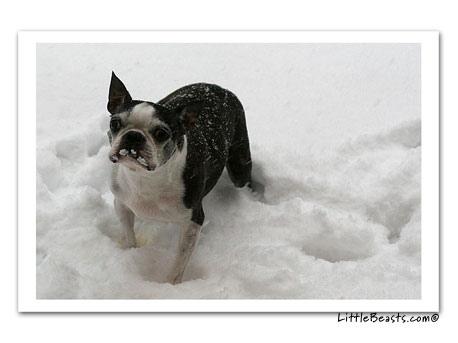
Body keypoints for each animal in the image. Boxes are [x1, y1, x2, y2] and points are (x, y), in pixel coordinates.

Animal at [106, 72, 262, 284]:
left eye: (161, 133)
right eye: (115, 123)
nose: (133, 135)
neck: (146, 178)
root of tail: (217, 87)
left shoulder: (193, 223)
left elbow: (180, 260)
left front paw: (170, 285)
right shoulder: (122, 203)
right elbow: (128, 233)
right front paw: (129, 253)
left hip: (240, 163)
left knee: (245, 181)